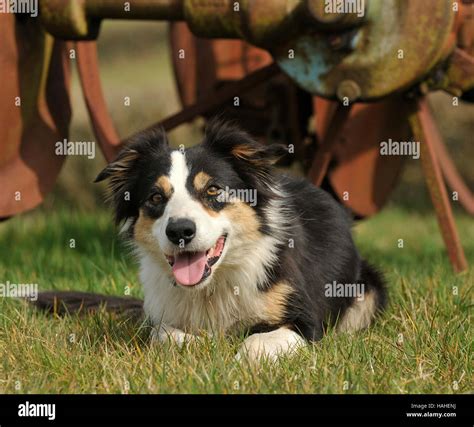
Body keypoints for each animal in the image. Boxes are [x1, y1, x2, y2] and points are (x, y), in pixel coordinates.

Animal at [90, 118, 386, 362]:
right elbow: (163, 335)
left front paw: (239, 360)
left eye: (213, 189)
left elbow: (257, 342)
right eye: (155, 197)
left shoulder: (304, 320)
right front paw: (198, 345)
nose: (180, 231)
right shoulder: (163, 313)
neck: (213, 285)